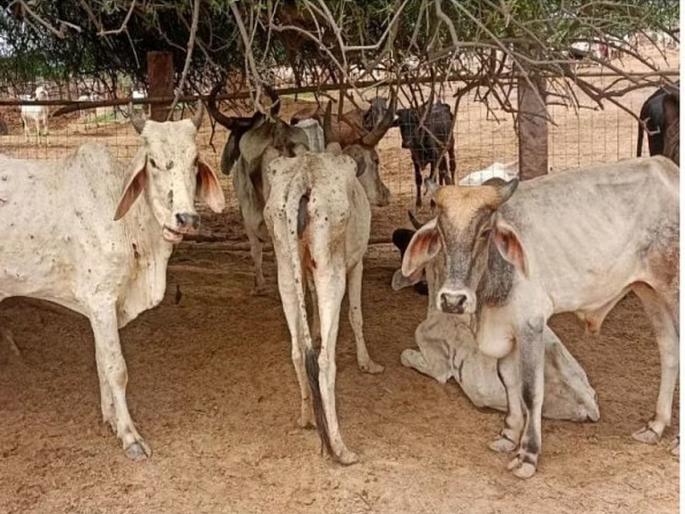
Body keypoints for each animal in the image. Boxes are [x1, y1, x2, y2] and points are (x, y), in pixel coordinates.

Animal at [0, 103, 225, 459]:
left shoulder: (100, 308)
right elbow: (117, 369)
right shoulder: (102, 300)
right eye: (153, 162)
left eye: (194, 160)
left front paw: (110, 419)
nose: (186, 218)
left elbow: (101, 362)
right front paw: (130, 436)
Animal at [263, 103, 390, 465]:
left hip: (284, 266)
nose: (386, 195)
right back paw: (340, 446)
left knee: (297, 350)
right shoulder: (357, 262)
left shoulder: (305, 270)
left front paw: (318, 330)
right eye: (376, 161)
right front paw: (367, 362)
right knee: (322, 361)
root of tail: (302, 182)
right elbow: (356, 315)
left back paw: (306, 416)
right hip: (332, 272)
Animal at [399, 156, 679, 478]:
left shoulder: (531, 325)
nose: (453, 300)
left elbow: (530, 390)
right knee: (670, 352)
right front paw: (508, 436)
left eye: (484, 232)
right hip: (650, 292)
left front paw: (528, 455)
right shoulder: (507, 330)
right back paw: (655, 426)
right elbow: (508, 381)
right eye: (442, 234)